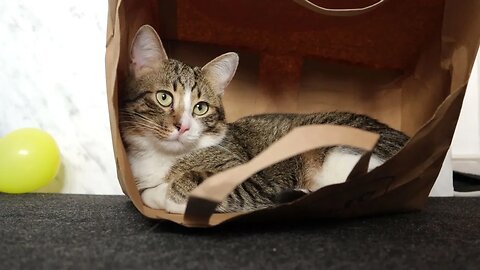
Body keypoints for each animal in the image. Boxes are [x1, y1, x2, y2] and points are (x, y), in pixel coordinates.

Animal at [119, 25, 408, 215]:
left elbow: (181, 186)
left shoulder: (256, 183)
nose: (183, 126)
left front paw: (158, 193)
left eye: (200, 108)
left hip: (342, 153)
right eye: (164, 97)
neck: (162, 157)